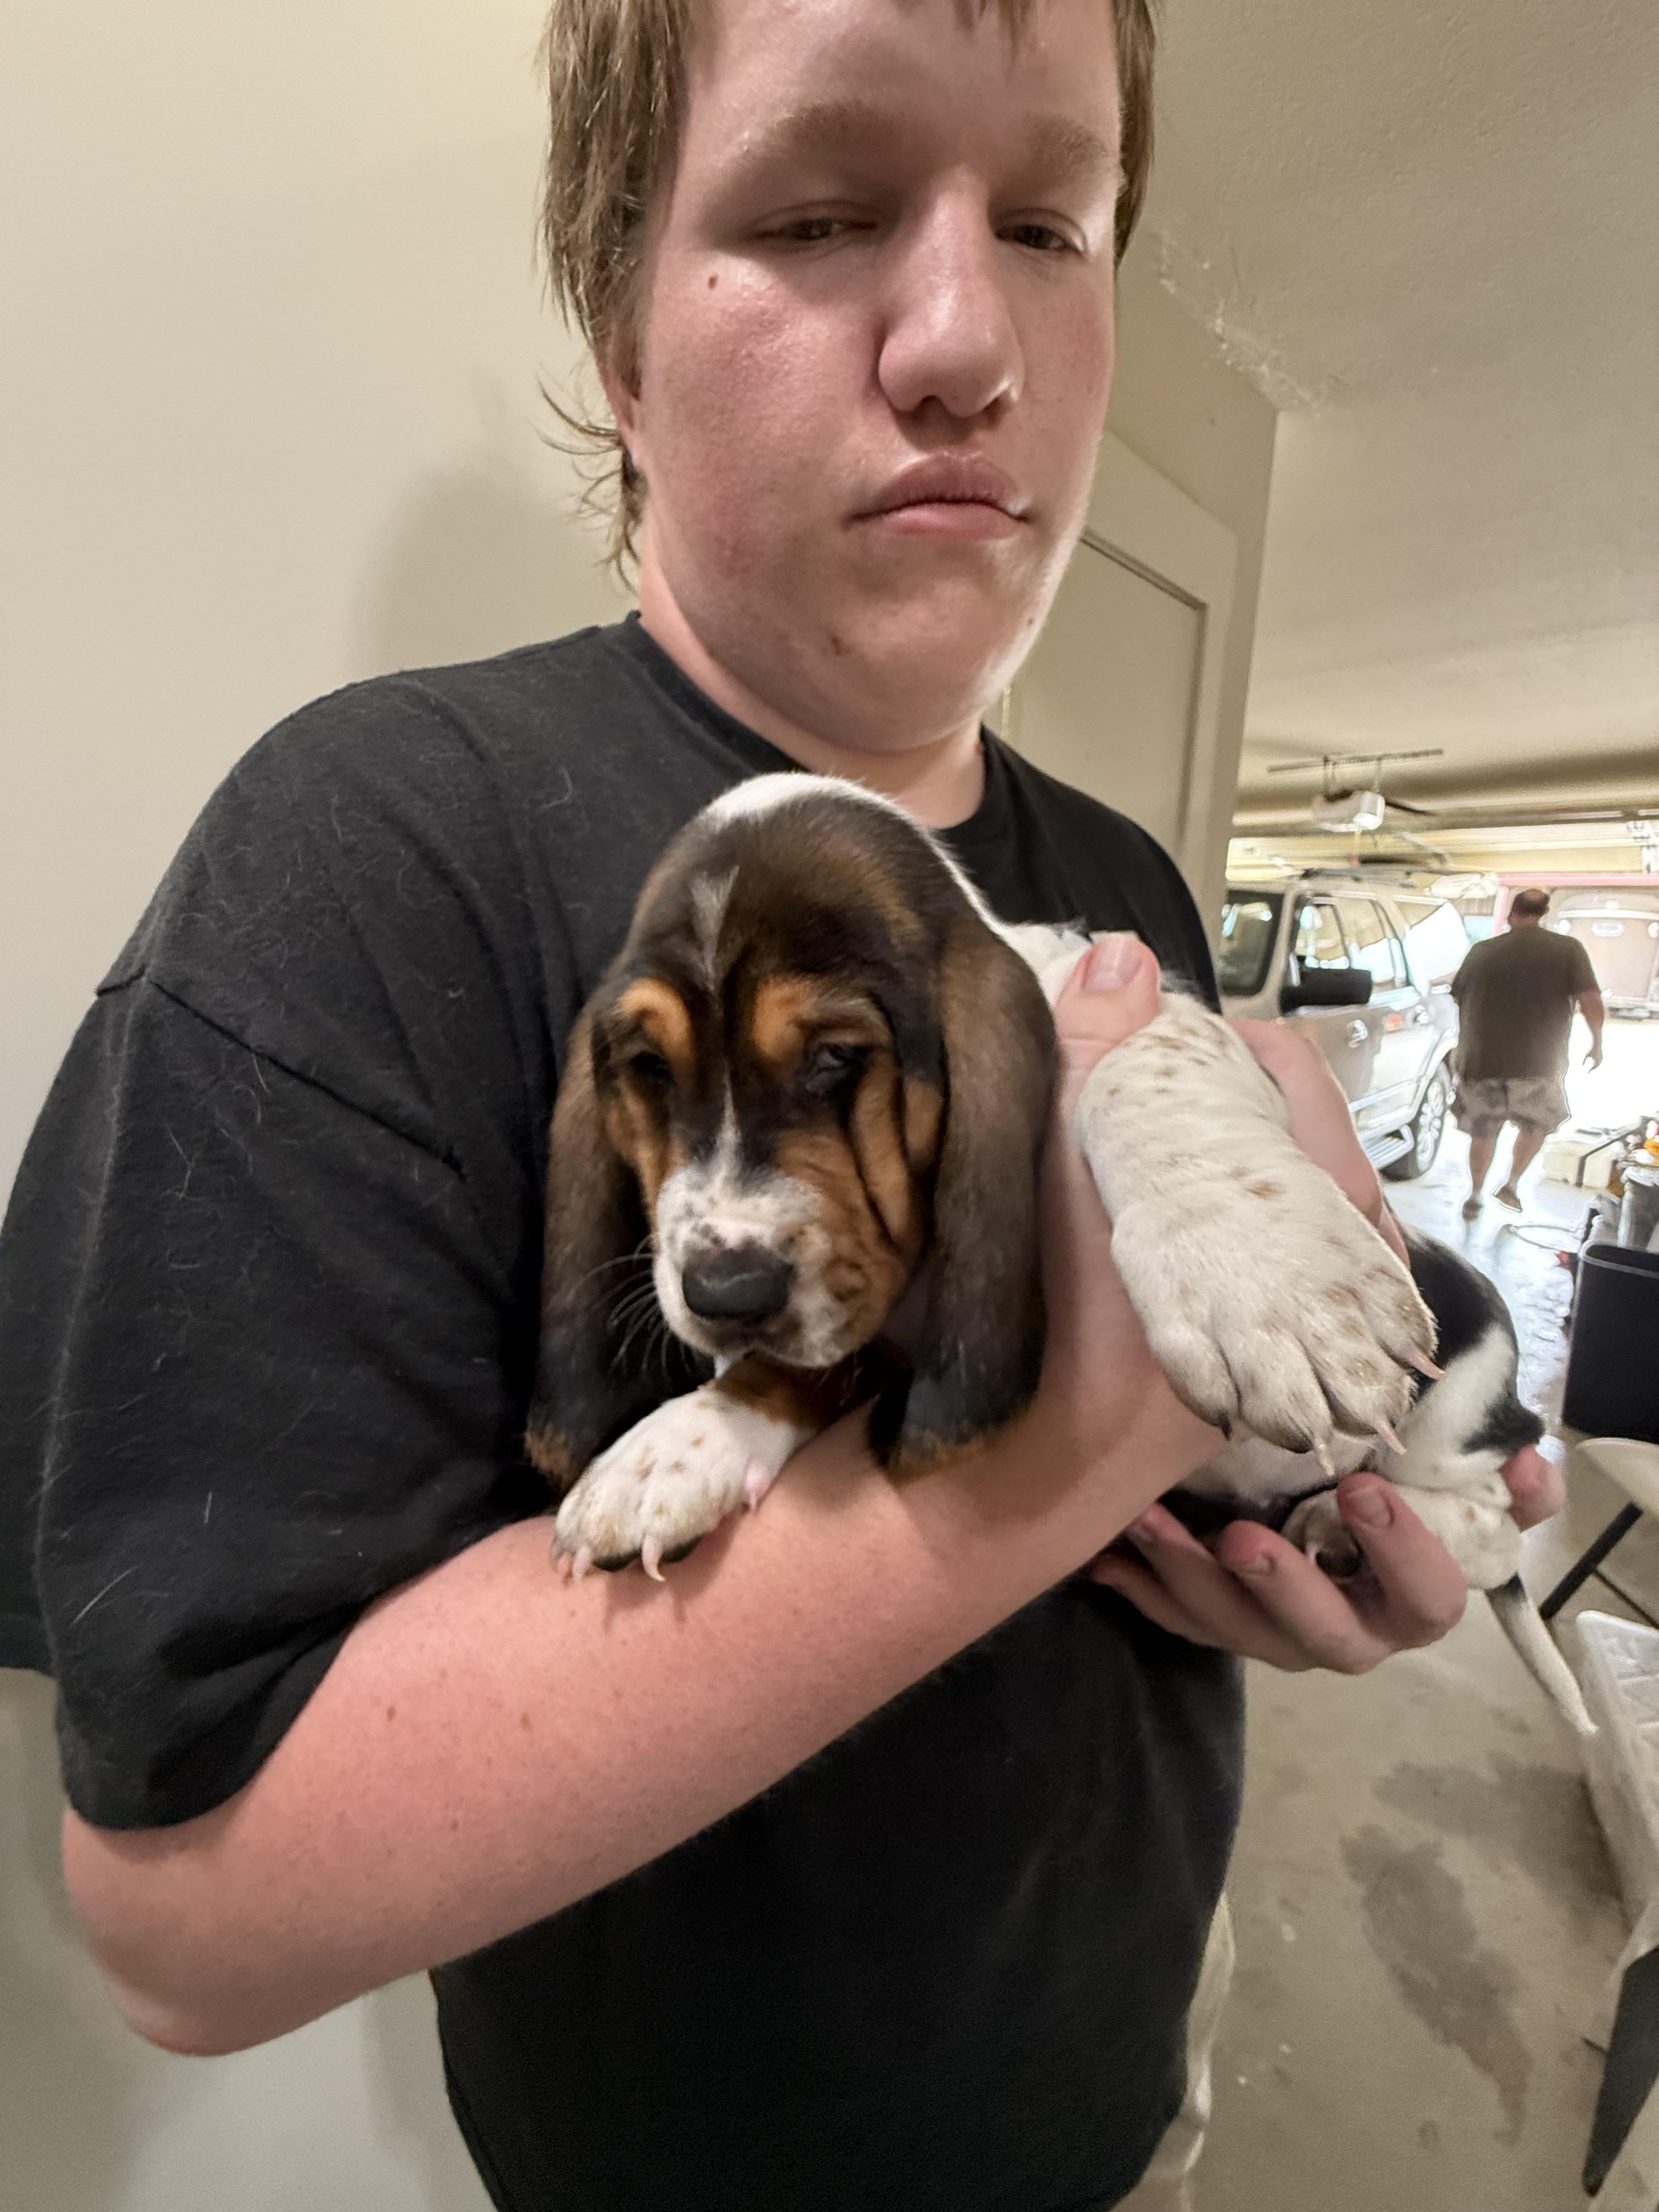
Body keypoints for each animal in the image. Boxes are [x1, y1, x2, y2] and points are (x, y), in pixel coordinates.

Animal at [525, 774, 1591, 1734]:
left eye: (834, 1059)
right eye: (649, 1071)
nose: (725, 1295)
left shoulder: (1164, 1017)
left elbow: (1136, 1066)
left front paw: (1261, 1279)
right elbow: (810, 1363)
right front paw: (677, 1448)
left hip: (1458, 1413)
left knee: (1491, 1524)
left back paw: (1345, 1523)